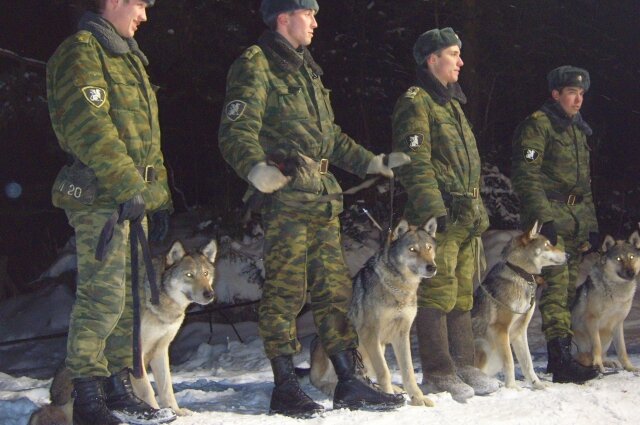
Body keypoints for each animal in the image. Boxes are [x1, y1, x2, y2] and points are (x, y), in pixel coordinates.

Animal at [30, 238, 218, 420]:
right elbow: (147, 390)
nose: (209, 294)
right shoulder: (135, 355)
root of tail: (54, 400)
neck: (161, 307)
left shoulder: (161, 350)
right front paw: (155, 412)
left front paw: (176, 412)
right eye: (189, 275)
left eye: (205, 274)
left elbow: (167, 388)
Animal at [310, 217, 440, 406]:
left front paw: (417, 398)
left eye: (428, 248)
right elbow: (384, 371)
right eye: (412, 249)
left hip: (377, 350)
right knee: (321, 381)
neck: (399, 288)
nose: (431, 267)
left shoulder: (401, 335)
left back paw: (392, 389)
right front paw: (388, 397)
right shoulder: (370, 334)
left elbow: (408, 371)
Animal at [470, 222, 564, 388]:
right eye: (547, 245)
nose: (568, 255)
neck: (520, 274)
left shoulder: (520, 331)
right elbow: (510, 363)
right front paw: (512, 388)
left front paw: (537, 385)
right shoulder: (500, 329)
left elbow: (527, 364)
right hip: (484, 347)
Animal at [568, 230, 640, 372]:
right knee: (579, 356)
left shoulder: (618, 323)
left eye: (631, 257)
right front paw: (597, 365)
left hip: (608, 335)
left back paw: (609, 362)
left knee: (603, 354)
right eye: (619, 259)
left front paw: (629, 367)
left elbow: (622, 350)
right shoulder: (592, 320)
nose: (631, 272)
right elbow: (597, 346)